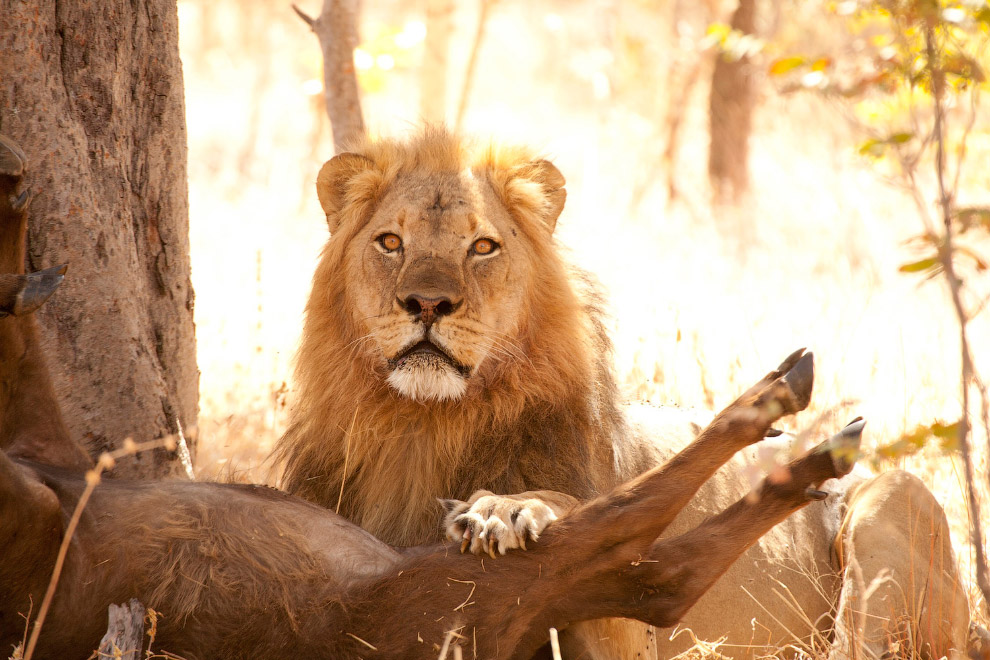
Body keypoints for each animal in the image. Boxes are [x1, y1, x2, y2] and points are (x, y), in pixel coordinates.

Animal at [276, 127, 972, 660]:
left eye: (483, 247)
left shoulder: (624, 636)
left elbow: (579, 523)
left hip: (892, 502)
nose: (426, 303)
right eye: (390, 242)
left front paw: (506, 509)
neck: (423, 427)